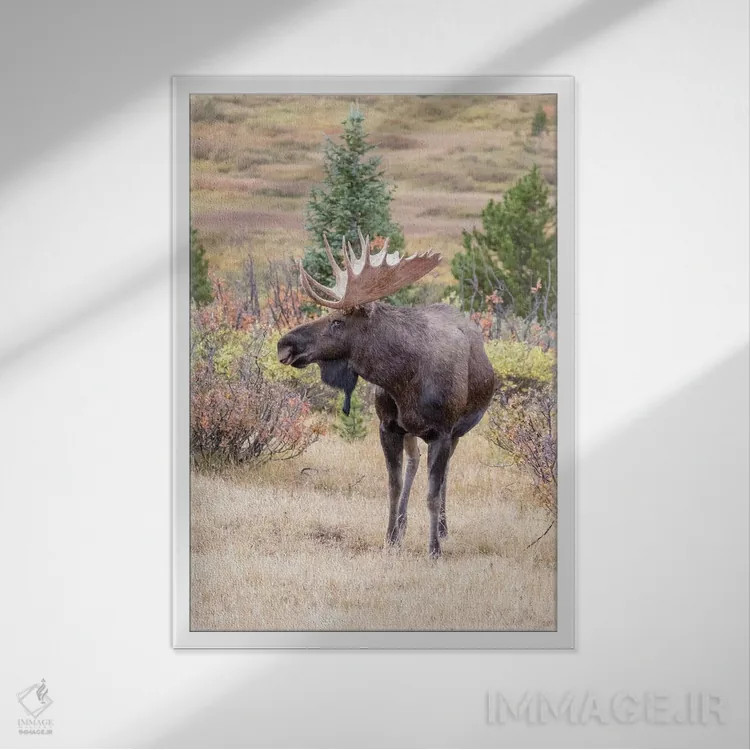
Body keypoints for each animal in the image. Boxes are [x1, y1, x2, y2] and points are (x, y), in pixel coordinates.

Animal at [277, 232, 495, 557]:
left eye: (337, 321)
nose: (285, 344)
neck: (404, 379)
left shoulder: (443, 431)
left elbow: (432, 493)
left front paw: (433, 549)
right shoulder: (388, 426)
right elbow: (393, 486)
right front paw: (390, 538)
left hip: (457, 430)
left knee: (444, 474)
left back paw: (443, 530)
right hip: (412, 431)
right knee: (415, 462)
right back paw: (404, 524)